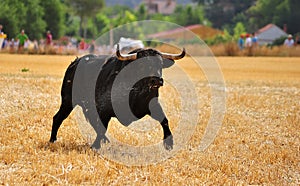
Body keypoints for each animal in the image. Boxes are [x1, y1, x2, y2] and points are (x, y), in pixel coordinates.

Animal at [49, 45, 185, 150]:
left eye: (160, 64)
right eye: (141, 64)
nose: (156, 80)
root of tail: (74, 63)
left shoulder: (153, 105)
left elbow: (164, 120)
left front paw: (169, 144)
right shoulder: (104, 109)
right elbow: (102, 127)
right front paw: (96, 145)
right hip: (68, 101)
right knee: (58, 117)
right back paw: (52, 140)